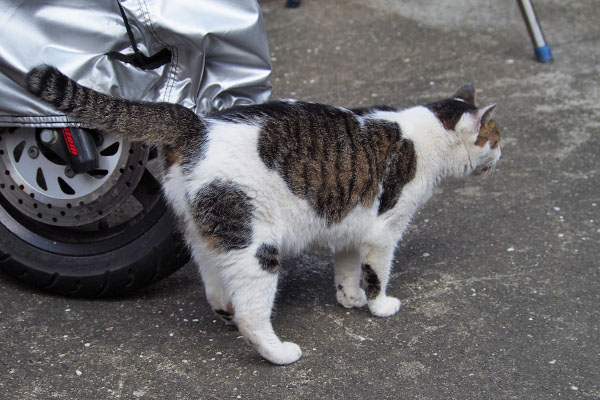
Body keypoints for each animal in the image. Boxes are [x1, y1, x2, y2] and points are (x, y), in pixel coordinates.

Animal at [24, 64, 502, 364]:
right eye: (496, 138)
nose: (503, 155)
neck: (427, 136)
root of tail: (198, 124)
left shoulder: (349, 227)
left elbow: (347, 268)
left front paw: (349, 299)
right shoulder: (383, 232)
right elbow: (376, 273)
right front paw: (379, 305)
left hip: (205, 233)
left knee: (216, 287)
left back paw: (225, 311)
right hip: (255, 246)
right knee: (252, 317)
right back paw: (278, 352)